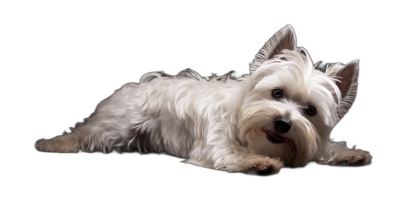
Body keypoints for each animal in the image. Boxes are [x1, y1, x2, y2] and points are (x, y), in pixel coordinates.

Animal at [36, 24, 370, 175]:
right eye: (277, 93)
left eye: (310, 110)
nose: (283, 123)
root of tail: (132, 86)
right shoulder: (216, 144)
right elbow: (231, 154)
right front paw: (258, 162)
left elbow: (326, 147)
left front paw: (348, 154)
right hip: (115, 128)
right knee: (85, 132)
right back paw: (55, 144)